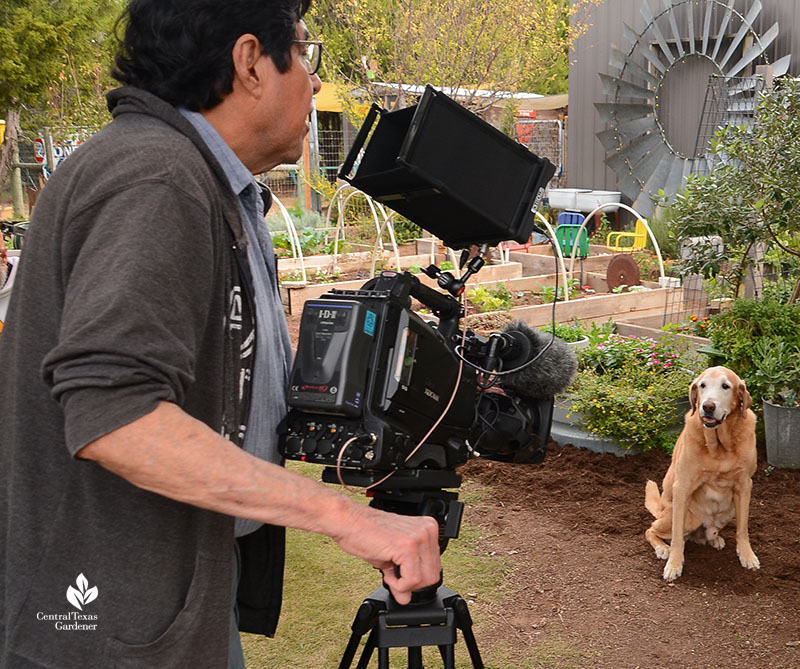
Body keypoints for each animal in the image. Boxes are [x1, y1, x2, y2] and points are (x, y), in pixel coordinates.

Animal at [644, 366, 764, 580]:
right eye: (702, 385)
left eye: (726, 386)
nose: (707, 406)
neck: (719, 447)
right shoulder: (682, 486)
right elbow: (676, 538)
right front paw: (674, 564)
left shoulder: (744, 485)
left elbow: (743, 528)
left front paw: (747, 555)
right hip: (687, 517)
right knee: (652, 529)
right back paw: (662, 548)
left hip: (729, 510)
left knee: (707, 533)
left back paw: (714, 539)